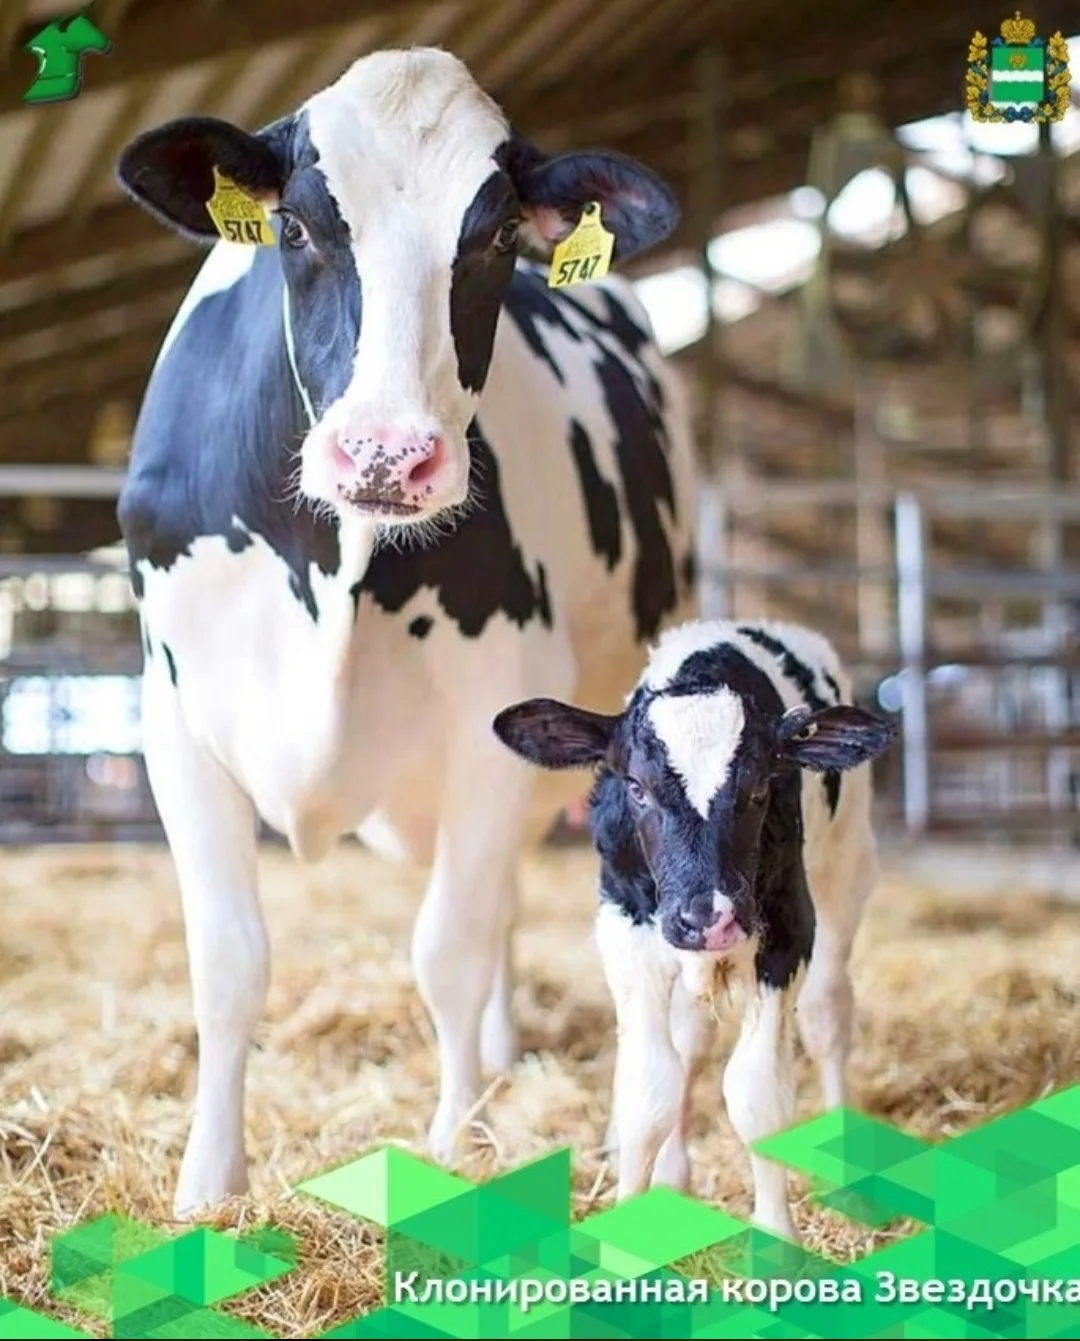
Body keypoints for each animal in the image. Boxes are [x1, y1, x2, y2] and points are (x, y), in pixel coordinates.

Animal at [113, 46, 697, 1214]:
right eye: (295, 227)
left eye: (498, 237)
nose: (387, 454)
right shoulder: (176, 720)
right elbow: (229, 960)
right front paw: (208, 1186)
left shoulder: (494, 720)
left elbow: (450, 950)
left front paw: (454, 1147)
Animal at [493, 619, 898, 1239]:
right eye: (636, 787)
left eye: (759, 790)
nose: (708, 917)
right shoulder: (626, 929)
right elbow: (648, 1093)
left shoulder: (788, 932)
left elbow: (758, 1095)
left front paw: (777, 1237)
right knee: (690, 1042)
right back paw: (672, 1179)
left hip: (847, 869)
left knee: (828, 1017)